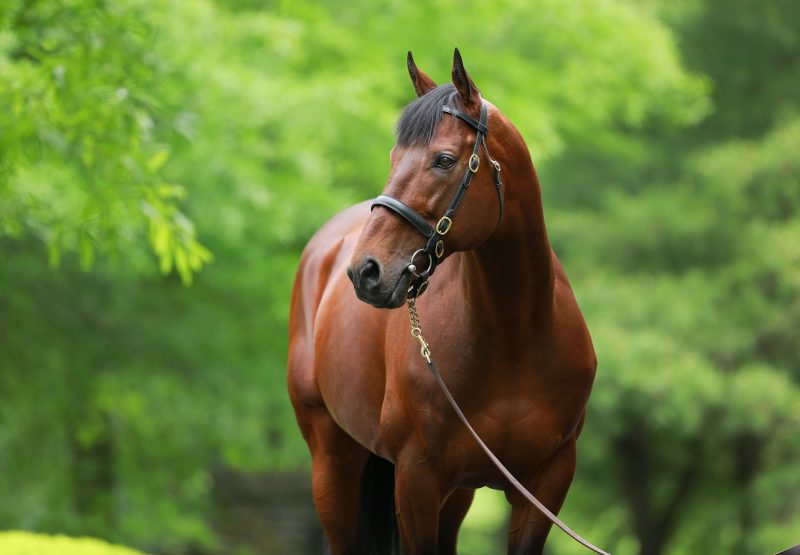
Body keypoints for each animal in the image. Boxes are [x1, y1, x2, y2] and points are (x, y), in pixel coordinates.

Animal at [286, 48, 592, 555]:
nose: (365, 271)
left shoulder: (546, 485)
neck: (514, 338)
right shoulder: (416, 481)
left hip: (457, 494)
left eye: (444, 160)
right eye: (394, 157)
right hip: (332, 463)